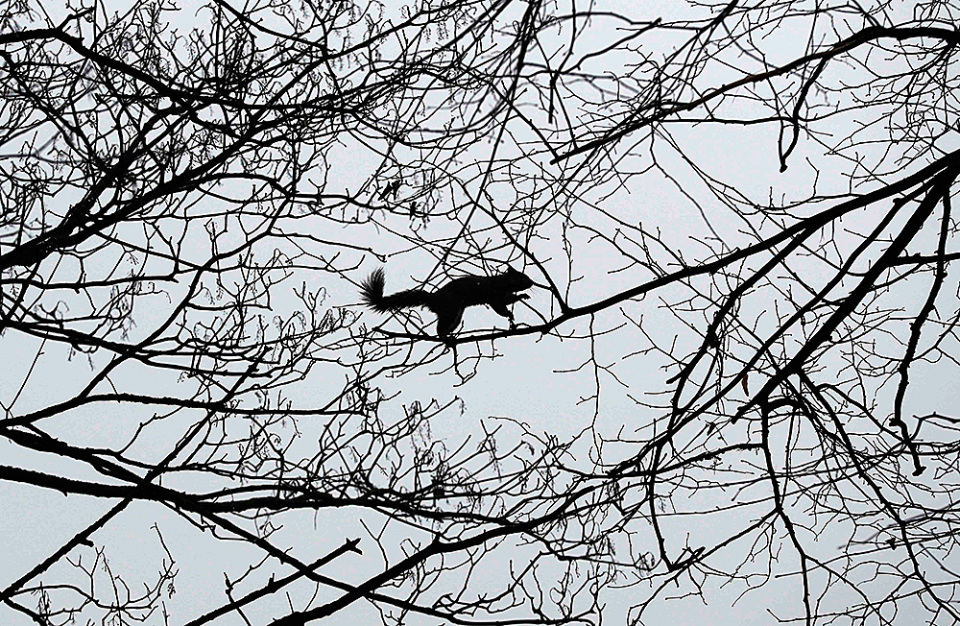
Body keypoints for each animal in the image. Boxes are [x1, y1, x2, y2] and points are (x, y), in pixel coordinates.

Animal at [360, 266, 533, 337]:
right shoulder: (494, 296)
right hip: (451, 309)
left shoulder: (503, 295)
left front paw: (522, 297)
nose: (532, 282)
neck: (501, 283)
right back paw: (444, 336)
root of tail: (433, 299)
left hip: (456, 314)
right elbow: (499, 307)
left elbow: (509, 299)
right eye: (522, 277)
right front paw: (508, 313)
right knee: (440, 327)